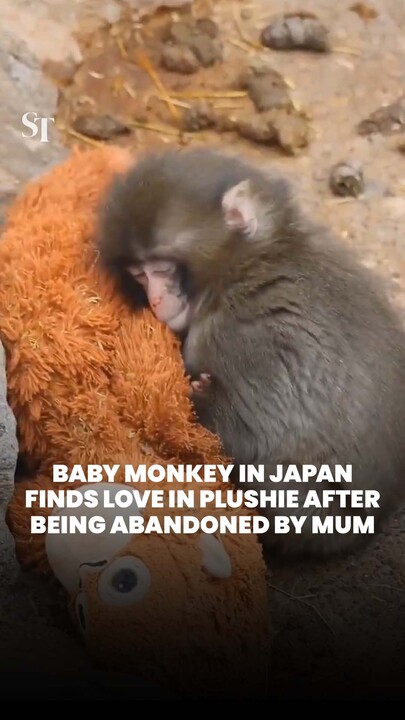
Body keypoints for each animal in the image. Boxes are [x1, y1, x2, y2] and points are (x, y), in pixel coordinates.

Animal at [98, 148, 405, 557]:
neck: (246, 267)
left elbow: (255, 438)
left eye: (162, 268)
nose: (156, 300)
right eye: (139, 275)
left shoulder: (245, 337)